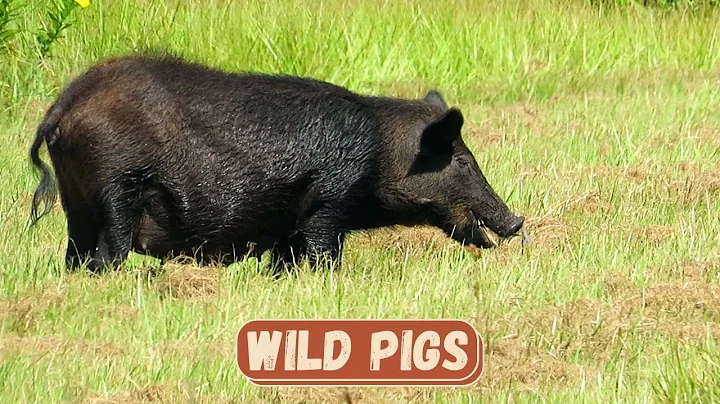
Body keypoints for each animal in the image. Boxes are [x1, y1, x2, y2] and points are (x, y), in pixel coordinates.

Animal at [28, 54, 525, 273]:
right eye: (462, 160)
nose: (519, 222)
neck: (381, 156)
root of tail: (65, 105)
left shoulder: (289, 225)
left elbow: (285, 260)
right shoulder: (329, 200)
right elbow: (324, 250)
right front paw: (332, 280)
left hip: (77, 201)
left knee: (74, 251)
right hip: (117, 186)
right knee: (108, 251)